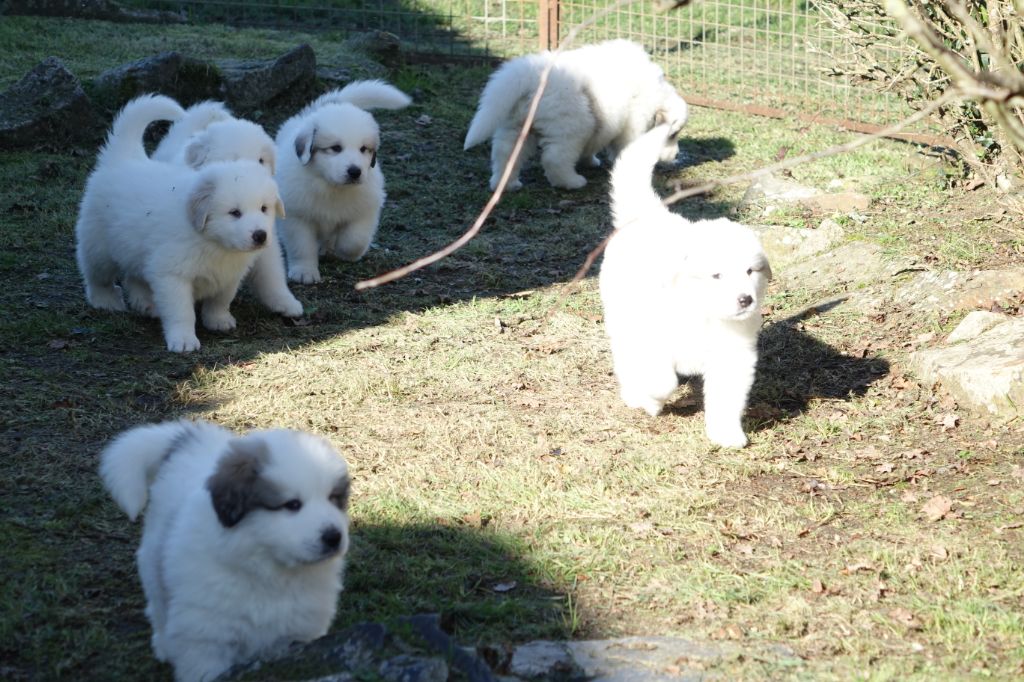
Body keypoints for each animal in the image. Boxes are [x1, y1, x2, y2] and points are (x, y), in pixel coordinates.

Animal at [74, 95, 288, 350]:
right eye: (234, 213)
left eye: (264, 209)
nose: (260, 235)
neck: (213, 243)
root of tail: (124, 158)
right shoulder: (171, 275)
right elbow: (181, 311)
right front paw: (184, 340)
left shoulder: (229, 275)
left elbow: (220, 300)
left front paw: (218, 320)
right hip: (98, 246)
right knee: (97, 276)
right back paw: (105, 300)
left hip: (134, 248)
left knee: (134, 276)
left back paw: (147, 303)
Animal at [98, 419, 352, 679]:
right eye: (292, 505)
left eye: (333, 499)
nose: (334, 537)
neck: (269, 570)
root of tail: (194, 438)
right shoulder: (206, 640)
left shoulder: (297, 634)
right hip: (152, 562)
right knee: (158, 605)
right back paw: (163, 645)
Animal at [278, 78, 413, 280]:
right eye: (335, 148)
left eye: (363, 149)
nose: (355, 172)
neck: (332, 187)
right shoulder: (297, 216)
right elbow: (302, 246)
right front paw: (304, 272)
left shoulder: (366, 209)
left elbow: (354, 240)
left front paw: (346, 253)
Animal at [466, 39, 692, 189]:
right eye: (672, 134)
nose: (676, 155)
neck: (654, 94)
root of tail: (528, 75)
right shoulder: (631, 125)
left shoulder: (603, 124)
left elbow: (594, 144)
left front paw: (590, 161)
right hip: (572, 126)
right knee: (555, 158)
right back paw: (571, 182)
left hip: (516, 125)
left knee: (505, 153)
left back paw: (506, 183)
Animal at [598, 124, 770, 448]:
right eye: (717, 275)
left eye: (750, 271)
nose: (745, 300)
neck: (703, 314)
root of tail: (650, 214)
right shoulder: (652, 338)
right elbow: (661, 380)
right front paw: (651, 401)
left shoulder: (732, 354)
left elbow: (727, 397)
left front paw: (726, 434)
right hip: (621, 318)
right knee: (625, 357)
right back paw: (633, 394)